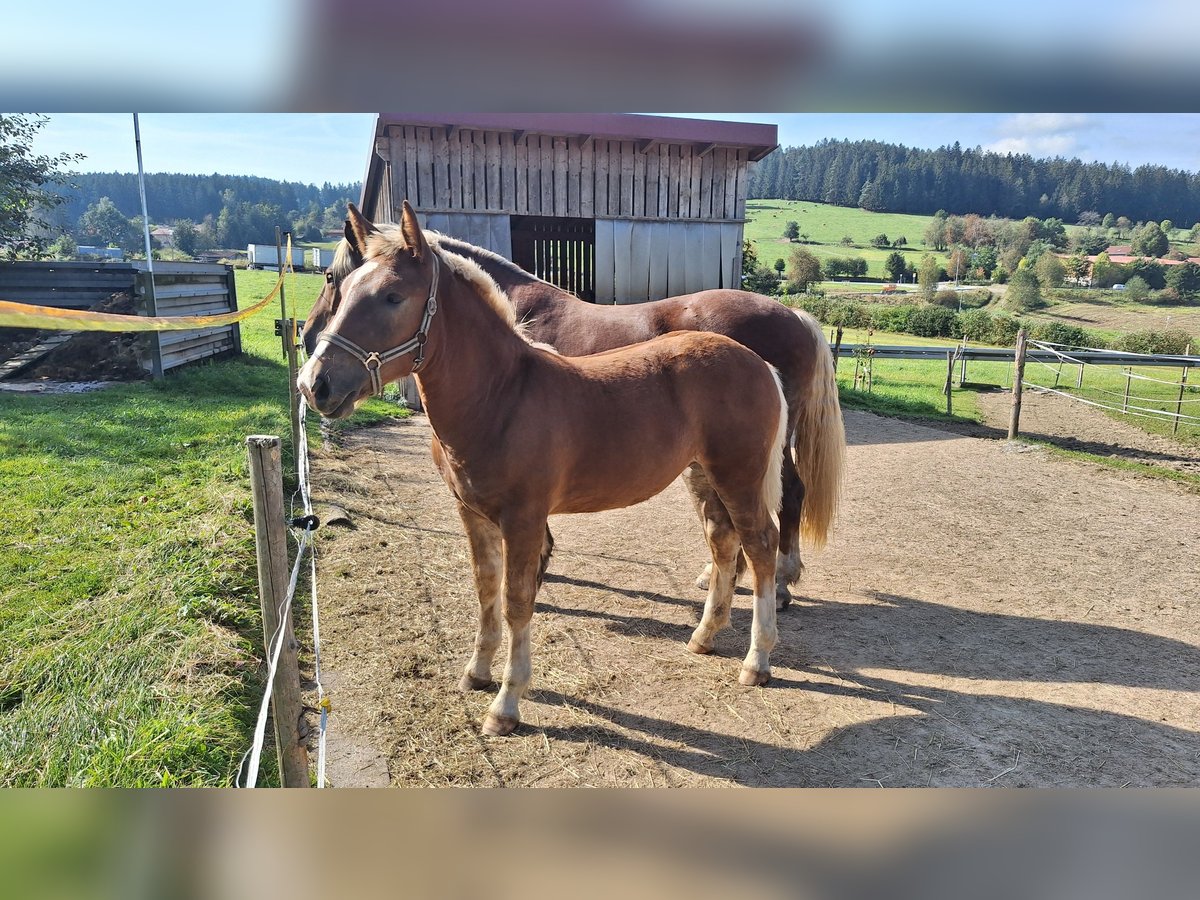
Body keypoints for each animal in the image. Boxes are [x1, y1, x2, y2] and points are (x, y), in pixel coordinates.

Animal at [297, 204, 787, 739]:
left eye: (392, 296)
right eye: (343, 287)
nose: (314, 384)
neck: (500, 397)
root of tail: (760, 363)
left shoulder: (524, 520)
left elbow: (516, 601)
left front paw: (506, 705)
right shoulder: (473, 514)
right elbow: (485, 589)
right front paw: (477, 672)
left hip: (739, 476)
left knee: (761, 545)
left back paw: (757, 662)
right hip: (702, 474)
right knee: (723, 540)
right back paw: (704, 636)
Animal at [304, 207, 849, 609]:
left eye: (330, 274)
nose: (313, 375)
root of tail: (796, 314)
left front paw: (537, 577)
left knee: (789, 496)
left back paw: (780, 582)